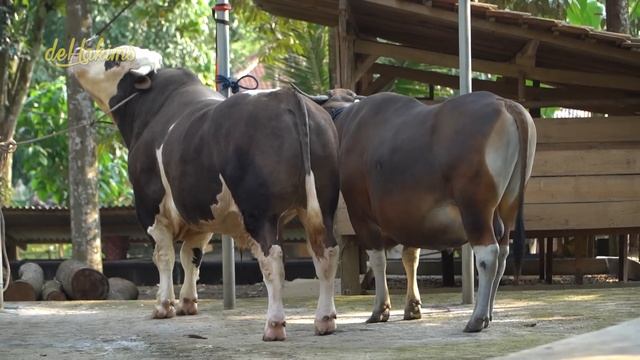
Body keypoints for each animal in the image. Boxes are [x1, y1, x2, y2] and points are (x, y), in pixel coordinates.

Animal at [69, 45, 340, 340]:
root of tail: (286, 95)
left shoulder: (150, 207)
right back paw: (325, 319)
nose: (77, 51)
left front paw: (164, 305)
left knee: (273, 262)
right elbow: (192, 256)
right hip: (321, 207)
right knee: (326, 254)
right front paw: (187, 302)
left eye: (115, 58)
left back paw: (274, 325)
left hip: (261, 213)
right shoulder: (199, 211)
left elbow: (164, 256)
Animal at [310, 89, 536, 332]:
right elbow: (411, 258)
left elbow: (378, 260)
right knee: (503, 254)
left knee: (488, 255)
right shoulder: (411, 218)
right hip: (509, 204)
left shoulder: (360, 214)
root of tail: (505, 104)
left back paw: (477, 318)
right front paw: (412, 307)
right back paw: (490, 313)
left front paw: (380, 309)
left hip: (475, 208)